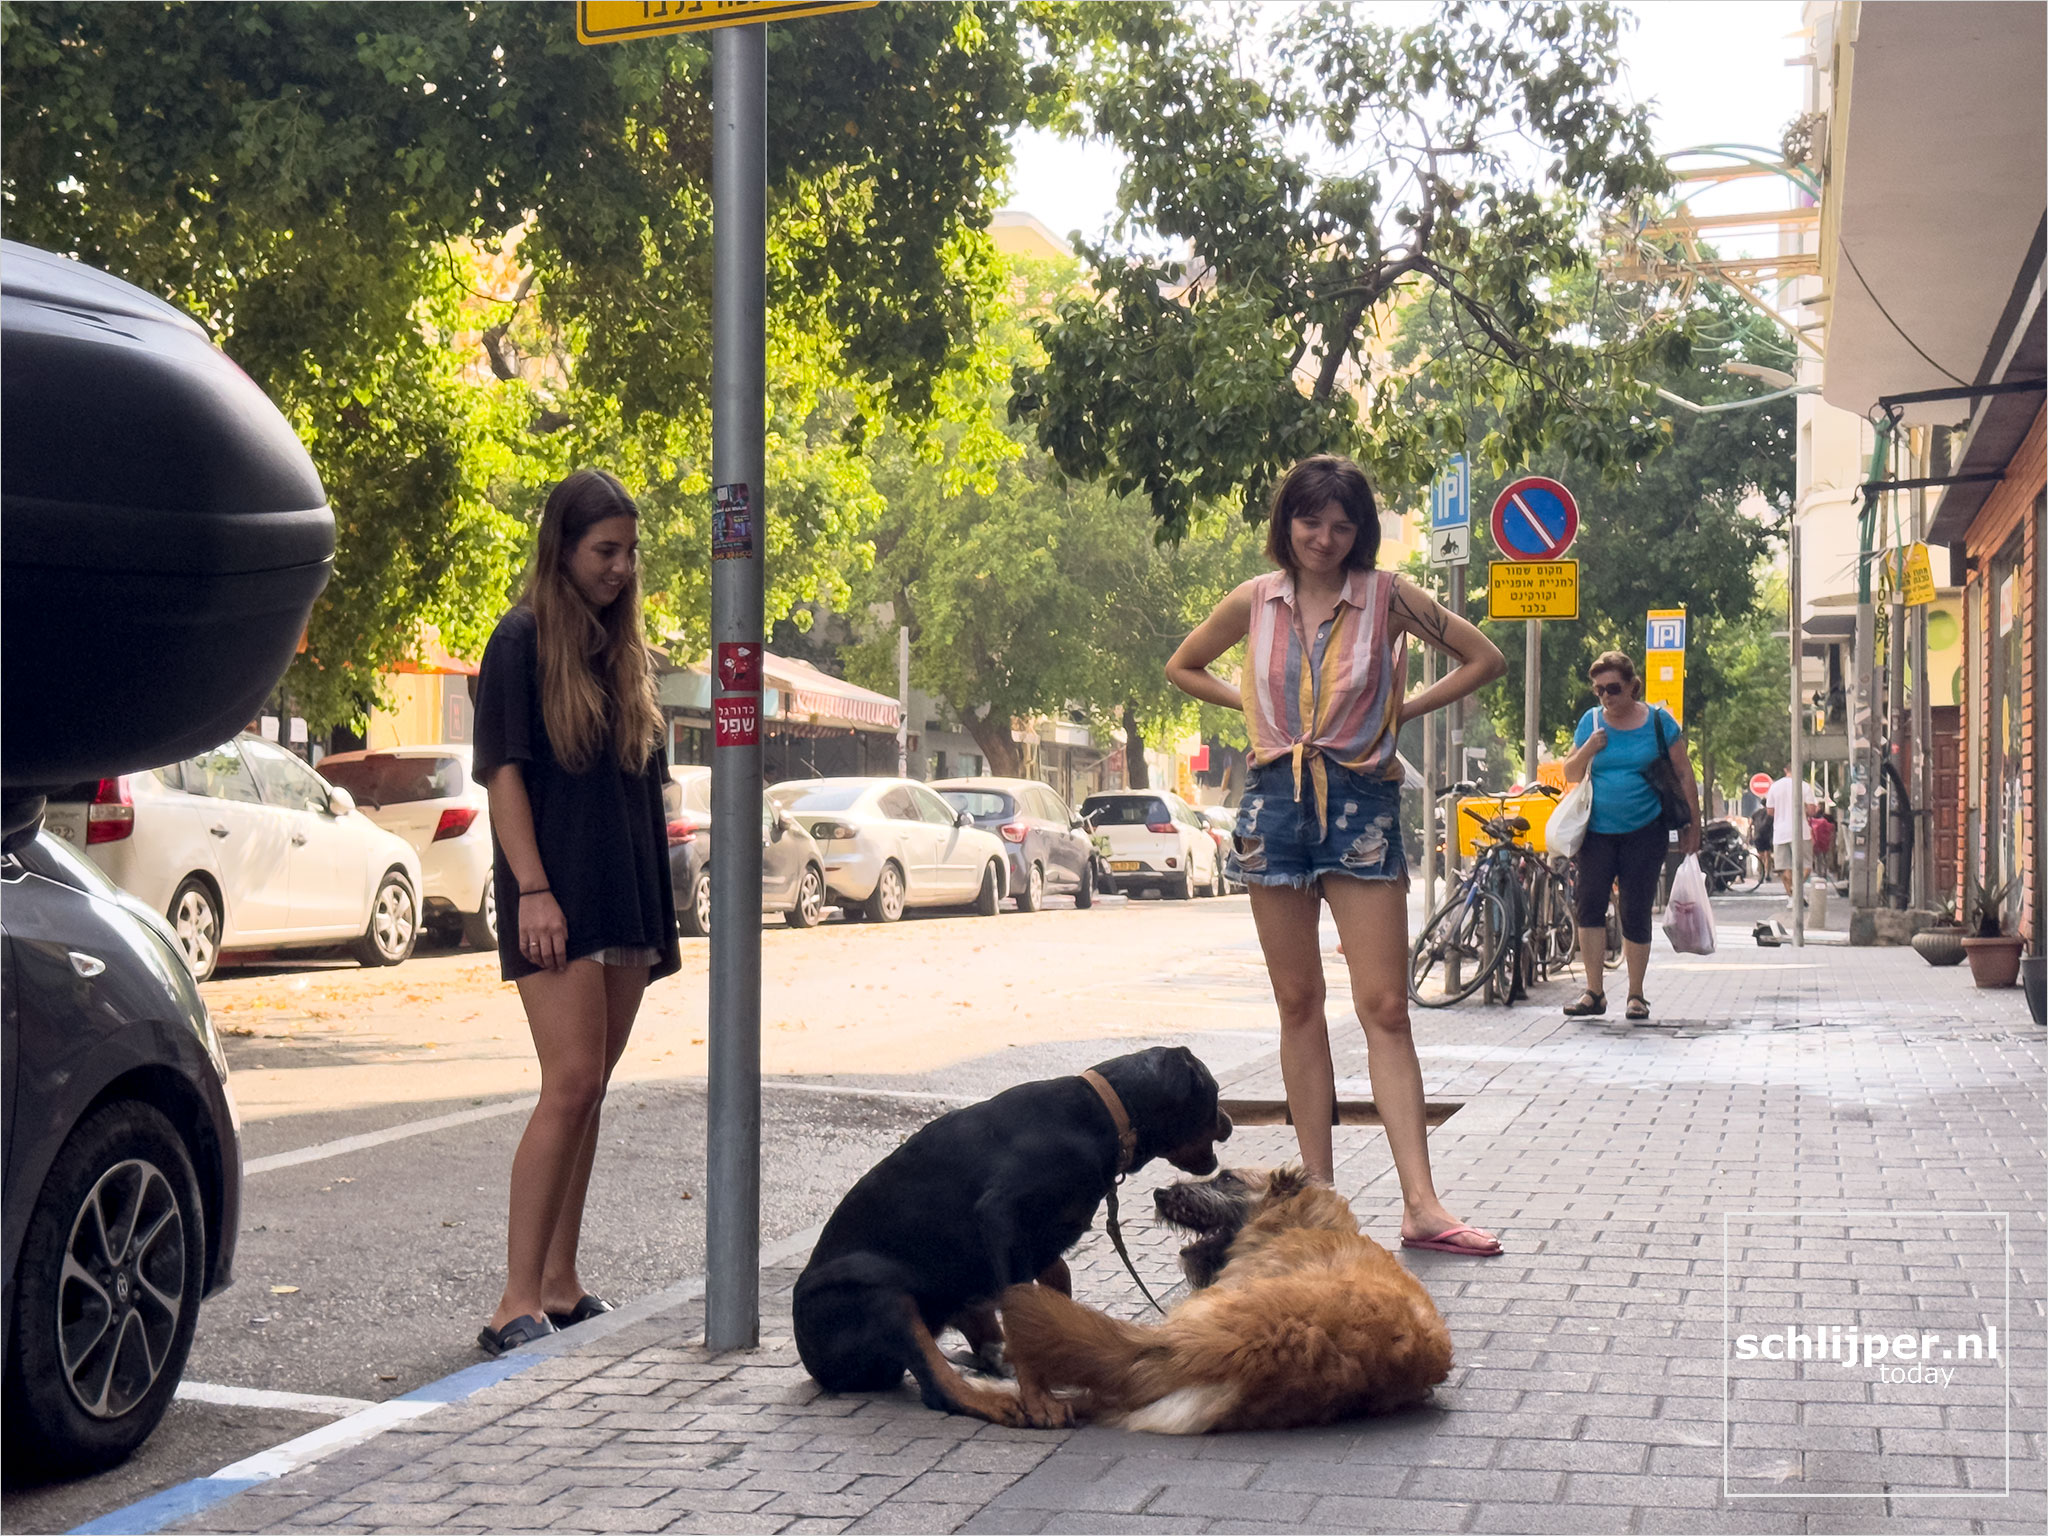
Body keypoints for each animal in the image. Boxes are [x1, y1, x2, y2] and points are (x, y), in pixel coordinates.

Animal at [790, 1048, 1220, 1433]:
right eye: (1214, 1094)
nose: (1229, 1123)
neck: (1103, 1116)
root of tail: (816, 1364)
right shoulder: (1001, 1218)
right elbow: (1020, 1303)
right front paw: (1040, 1401)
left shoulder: (1039, 1246)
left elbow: (1051, 1293)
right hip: (877, 1290)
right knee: (936, 1383)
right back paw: (994, 1400)